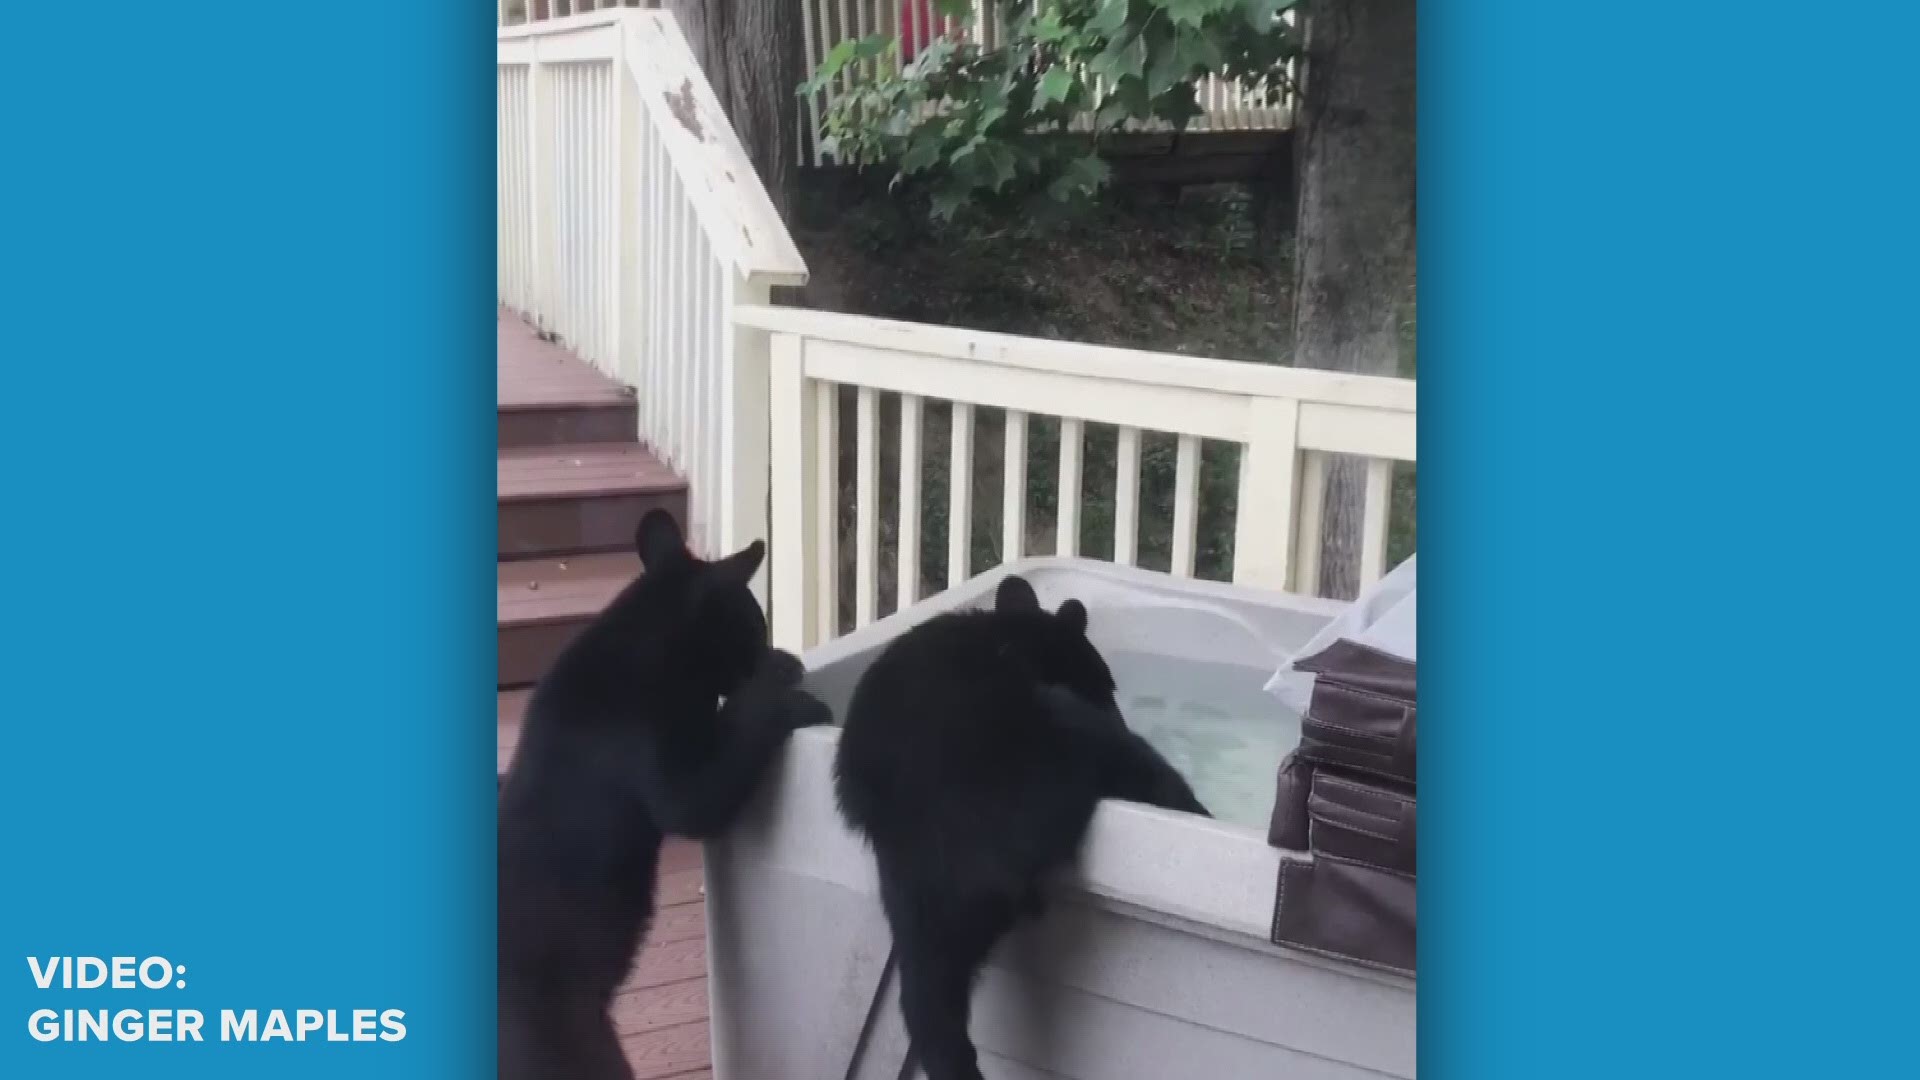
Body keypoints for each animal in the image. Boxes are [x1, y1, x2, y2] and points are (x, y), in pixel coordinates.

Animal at [495, 507, 825, 1076]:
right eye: (755, 627)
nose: (767, 649)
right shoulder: (679, 783)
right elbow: (739, 729)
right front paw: (782, 688)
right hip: (573, 1048)